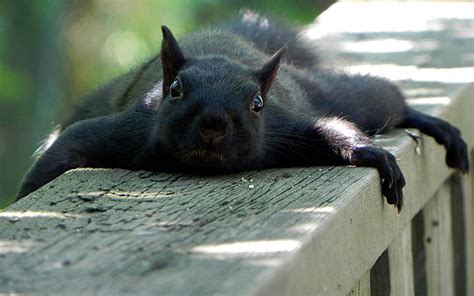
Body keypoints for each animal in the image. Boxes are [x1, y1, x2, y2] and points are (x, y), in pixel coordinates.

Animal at [16, 14, 468, 210]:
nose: (213, 125)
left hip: (328, 93)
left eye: (257, 104)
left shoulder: (284, 127)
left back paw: (433, 124)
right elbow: (65, 148)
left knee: (379, 100)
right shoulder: (129, 128)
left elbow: (332, 129)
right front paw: (24, 198)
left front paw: (374, 155)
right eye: (175, 90)